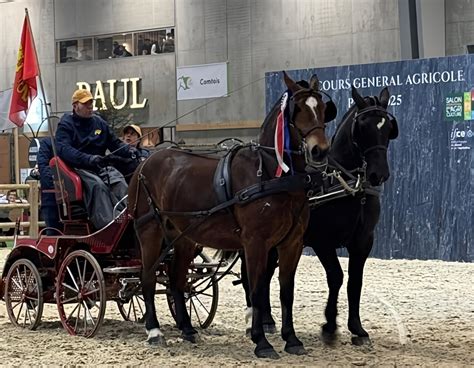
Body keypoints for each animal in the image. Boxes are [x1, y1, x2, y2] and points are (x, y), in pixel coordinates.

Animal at [128, 70, 332, 358]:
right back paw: (154, 331)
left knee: (177, 280)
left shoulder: (292, 243)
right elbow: (256, 290)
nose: (319, 150)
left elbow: (286, 292)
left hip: (185, 238)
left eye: (323, 108)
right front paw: (261, 341)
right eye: (298, 109)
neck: (270, 173)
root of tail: (145, 163)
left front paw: (291, 340)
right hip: (150, 232)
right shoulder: (255, 243)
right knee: (147, 277)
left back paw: (188, 330)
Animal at [239, 85, 398, 344]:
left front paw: (357, 328)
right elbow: (336, 276)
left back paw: (267, 319)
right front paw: (330, 325)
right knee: (253, 275)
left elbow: (355, 282)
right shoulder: (323, 242)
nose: (378, 174)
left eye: (388, 128)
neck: (345, 185)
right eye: (362, 126)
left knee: (265, 275)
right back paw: (260, 318)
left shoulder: (364, 240)